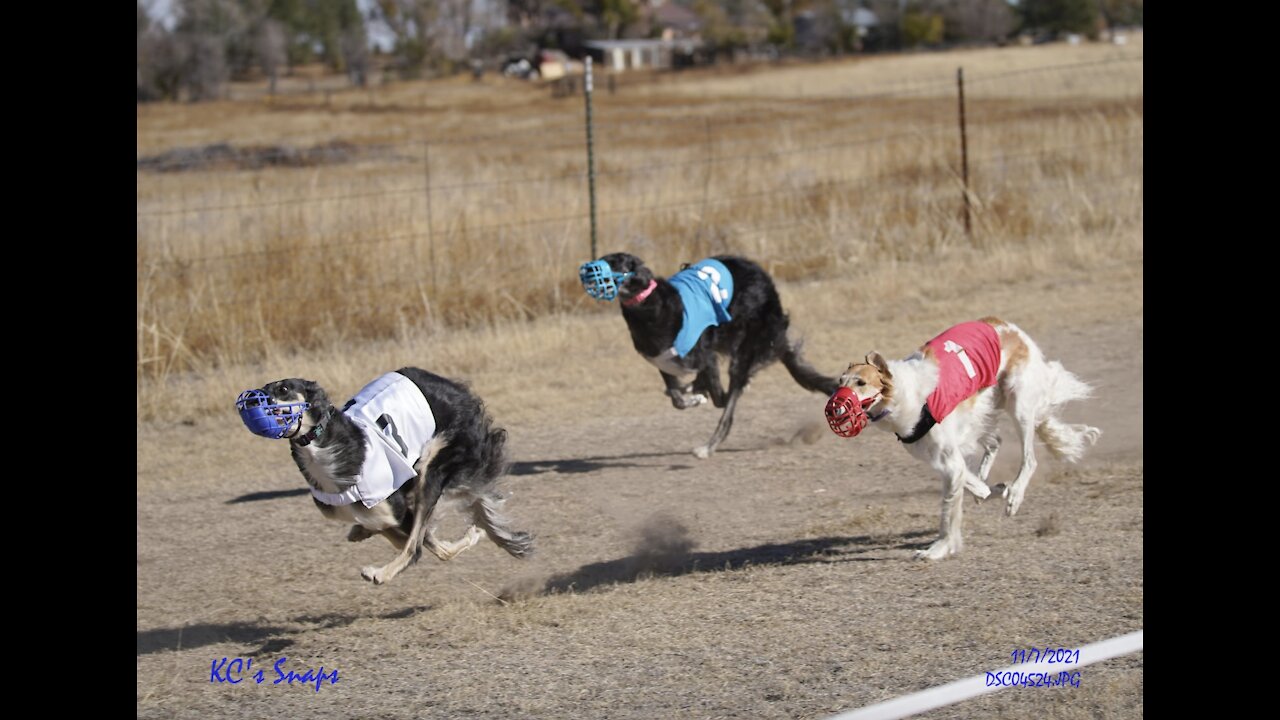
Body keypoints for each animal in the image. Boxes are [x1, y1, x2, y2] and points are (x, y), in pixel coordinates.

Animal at [238, 366, 532, 579]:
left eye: (284, 388)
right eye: (263, 387)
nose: (250, 400)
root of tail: (458, 390)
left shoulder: (393, 508)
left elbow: (417, 543)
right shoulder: (380, 515)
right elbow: (414, 537)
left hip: (434, 463)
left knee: (416, 545)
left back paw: (380, 573)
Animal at [583, 252, 839, 453]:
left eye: (614, 262)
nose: (586, 270)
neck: (652, 308)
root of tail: (763, 277)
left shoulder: (706, 357)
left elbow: (718, 397)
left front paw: (700, 396)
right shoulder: (664, 362)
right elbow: (677, 399)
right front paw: (691, 395)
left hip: (745, 344)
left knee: (730, 399)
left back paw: (709, 445)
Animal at [829, 316, 1100, 558]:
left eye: (861, 383)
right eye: (840, 382)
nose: (834, 408)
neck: (904, 396)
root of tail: (1009, 327)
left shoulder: (949, 459)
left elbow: (949, 512)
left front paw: (938, 550)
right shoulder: (937, 456)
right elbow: (974, 484)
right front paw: (991, 489)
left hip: (1018, 404)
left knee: (1030, 459)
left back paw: (1014, 496)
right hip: (985, 410)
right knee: (996, 442)